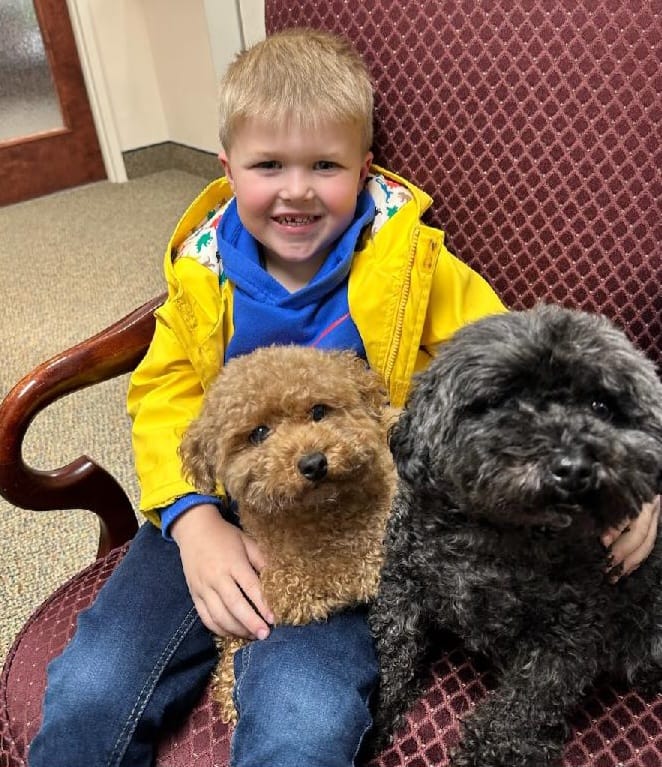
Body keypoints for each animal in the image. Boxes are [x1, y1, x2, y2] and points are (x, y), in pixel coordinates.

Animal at [370, 306, 662, 767]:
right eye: (502, 400)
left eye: (600, 405)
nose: (574, 468)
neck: (499, 533)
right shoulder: (404, 585)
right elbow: (392, 651)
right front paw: (374, 713)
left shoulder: (568, 636)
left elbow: (524, 707)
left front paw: (488, 753)